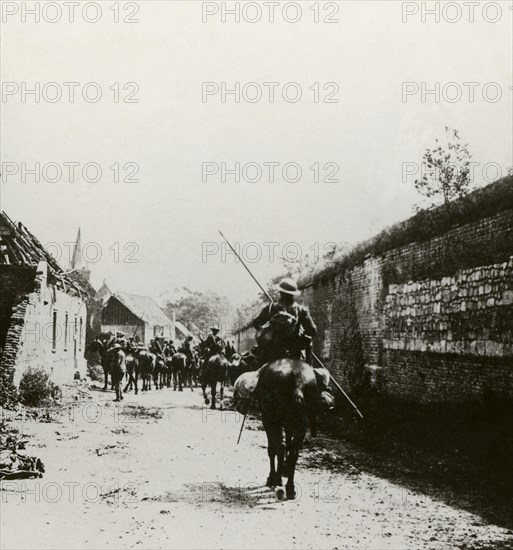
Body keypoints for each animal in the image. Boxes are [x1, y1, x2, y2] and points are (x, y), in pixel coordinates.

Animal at [258, 360, 318, 502]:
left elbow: (273, 449)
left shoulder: (268, 421)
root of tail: (297, 377)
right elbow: (288, 445)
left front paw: (273, 478)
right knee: (293, 454)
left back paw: (278, 481)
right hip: (301, 424)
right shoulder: (289, 425)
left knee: (279, 447)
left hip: (272, 420)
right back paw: (291, 488)